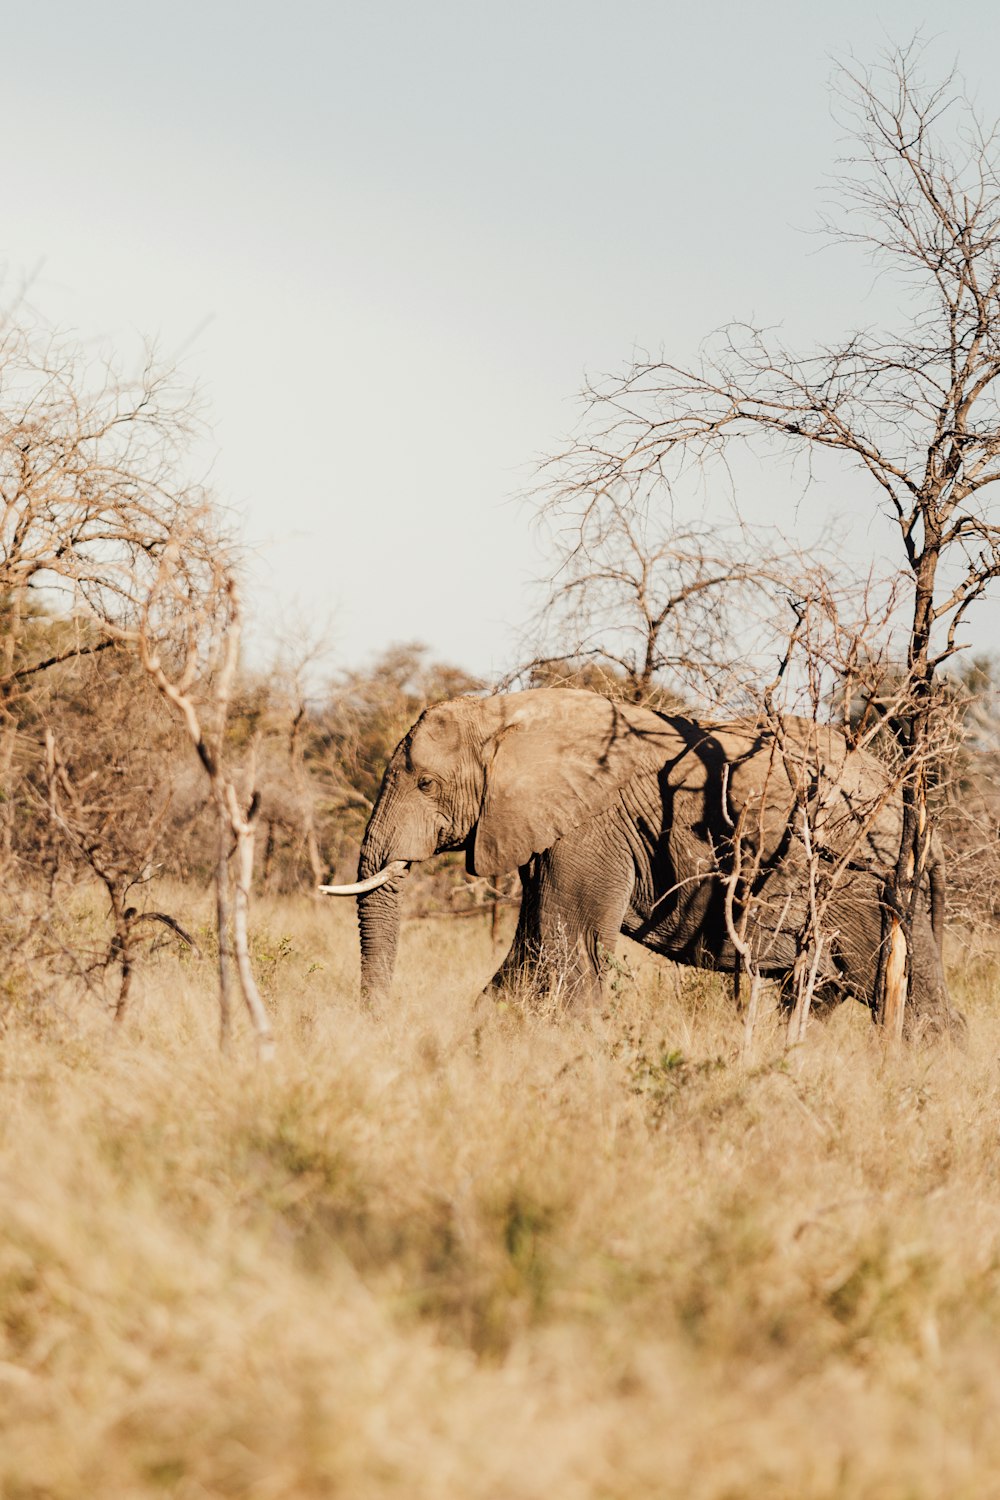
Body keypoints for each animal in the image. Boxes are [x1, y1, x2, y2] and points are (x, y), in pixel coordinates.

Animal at [320, 687, 959, 1038]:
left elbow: (569, 947)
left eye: (426, 784)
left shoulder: (589, 828)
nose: (378, 1025)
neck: (504, 712)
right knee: (824, 988)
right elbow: (533, 948)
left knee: (902, 993)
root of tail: (916, 807)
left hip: (864, 883)